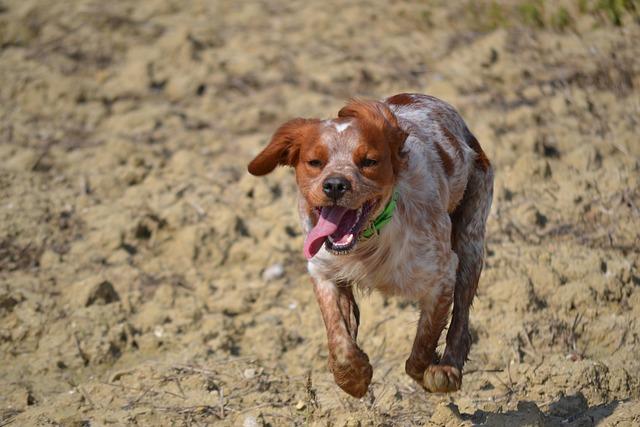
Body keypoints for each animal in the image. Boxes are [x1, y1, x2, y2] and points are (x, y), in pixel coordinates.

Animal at [248, 93, 492, 398]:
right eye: (315, 161)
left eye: (369, 161)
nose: (335, 185)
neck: (368, 242)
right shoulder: (323, 271)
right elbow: (339, 337)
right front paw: (354, 376)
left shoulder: (442, 274)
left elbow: (423, 345)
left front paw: (431, 371)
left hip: (471, 238)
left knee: (461, 318)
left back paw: (448, 368)